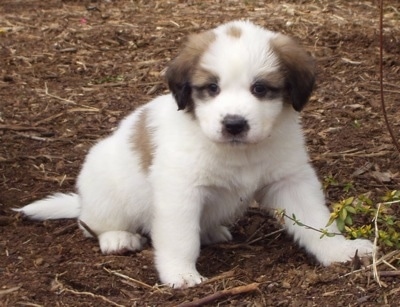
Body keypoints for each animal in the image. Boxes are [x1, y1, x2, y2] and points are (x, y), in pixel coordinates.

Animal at [16, 20, 376, 290]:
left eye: (260, 89)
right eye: (211, 88)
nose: (234, 124)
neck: (236, 153)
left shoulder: (290, 181)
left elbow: (317, 222)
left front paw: (342, 251)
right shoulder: (181, 192)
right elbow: (181, 238)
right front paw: (180, 274)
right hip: (106, 192)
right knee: (92, 223)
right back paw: (117, 238)